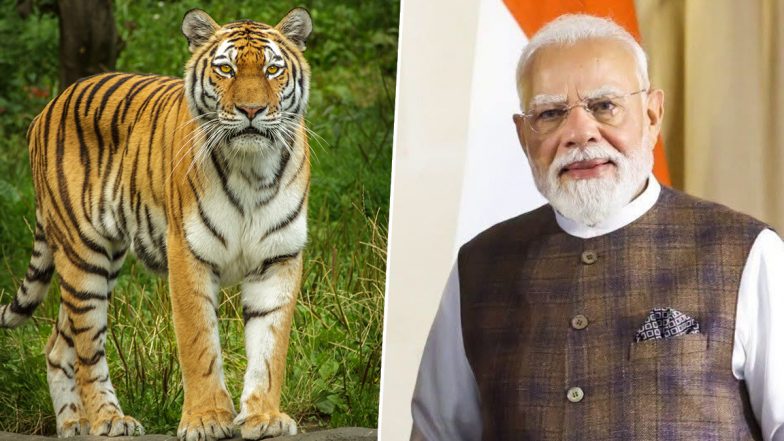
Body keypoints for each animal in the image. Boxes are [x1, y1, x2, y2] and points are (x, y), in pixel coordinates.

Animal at [0, 8, 312, 441]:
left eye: (272, 69)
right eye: (226, 69)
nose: (251, 111)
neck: (252, 169)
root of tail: (49, 106)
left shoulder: (278, 258)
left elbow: (270, 347)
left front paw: (264, 417)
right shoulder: (188, 254)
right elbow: (199, 343)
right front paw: (206, 419)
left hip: (96, 262)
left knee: (59, 346)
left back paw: (73, 424)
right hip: (83, 257)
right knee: (87, 349)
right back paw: (109, 419)